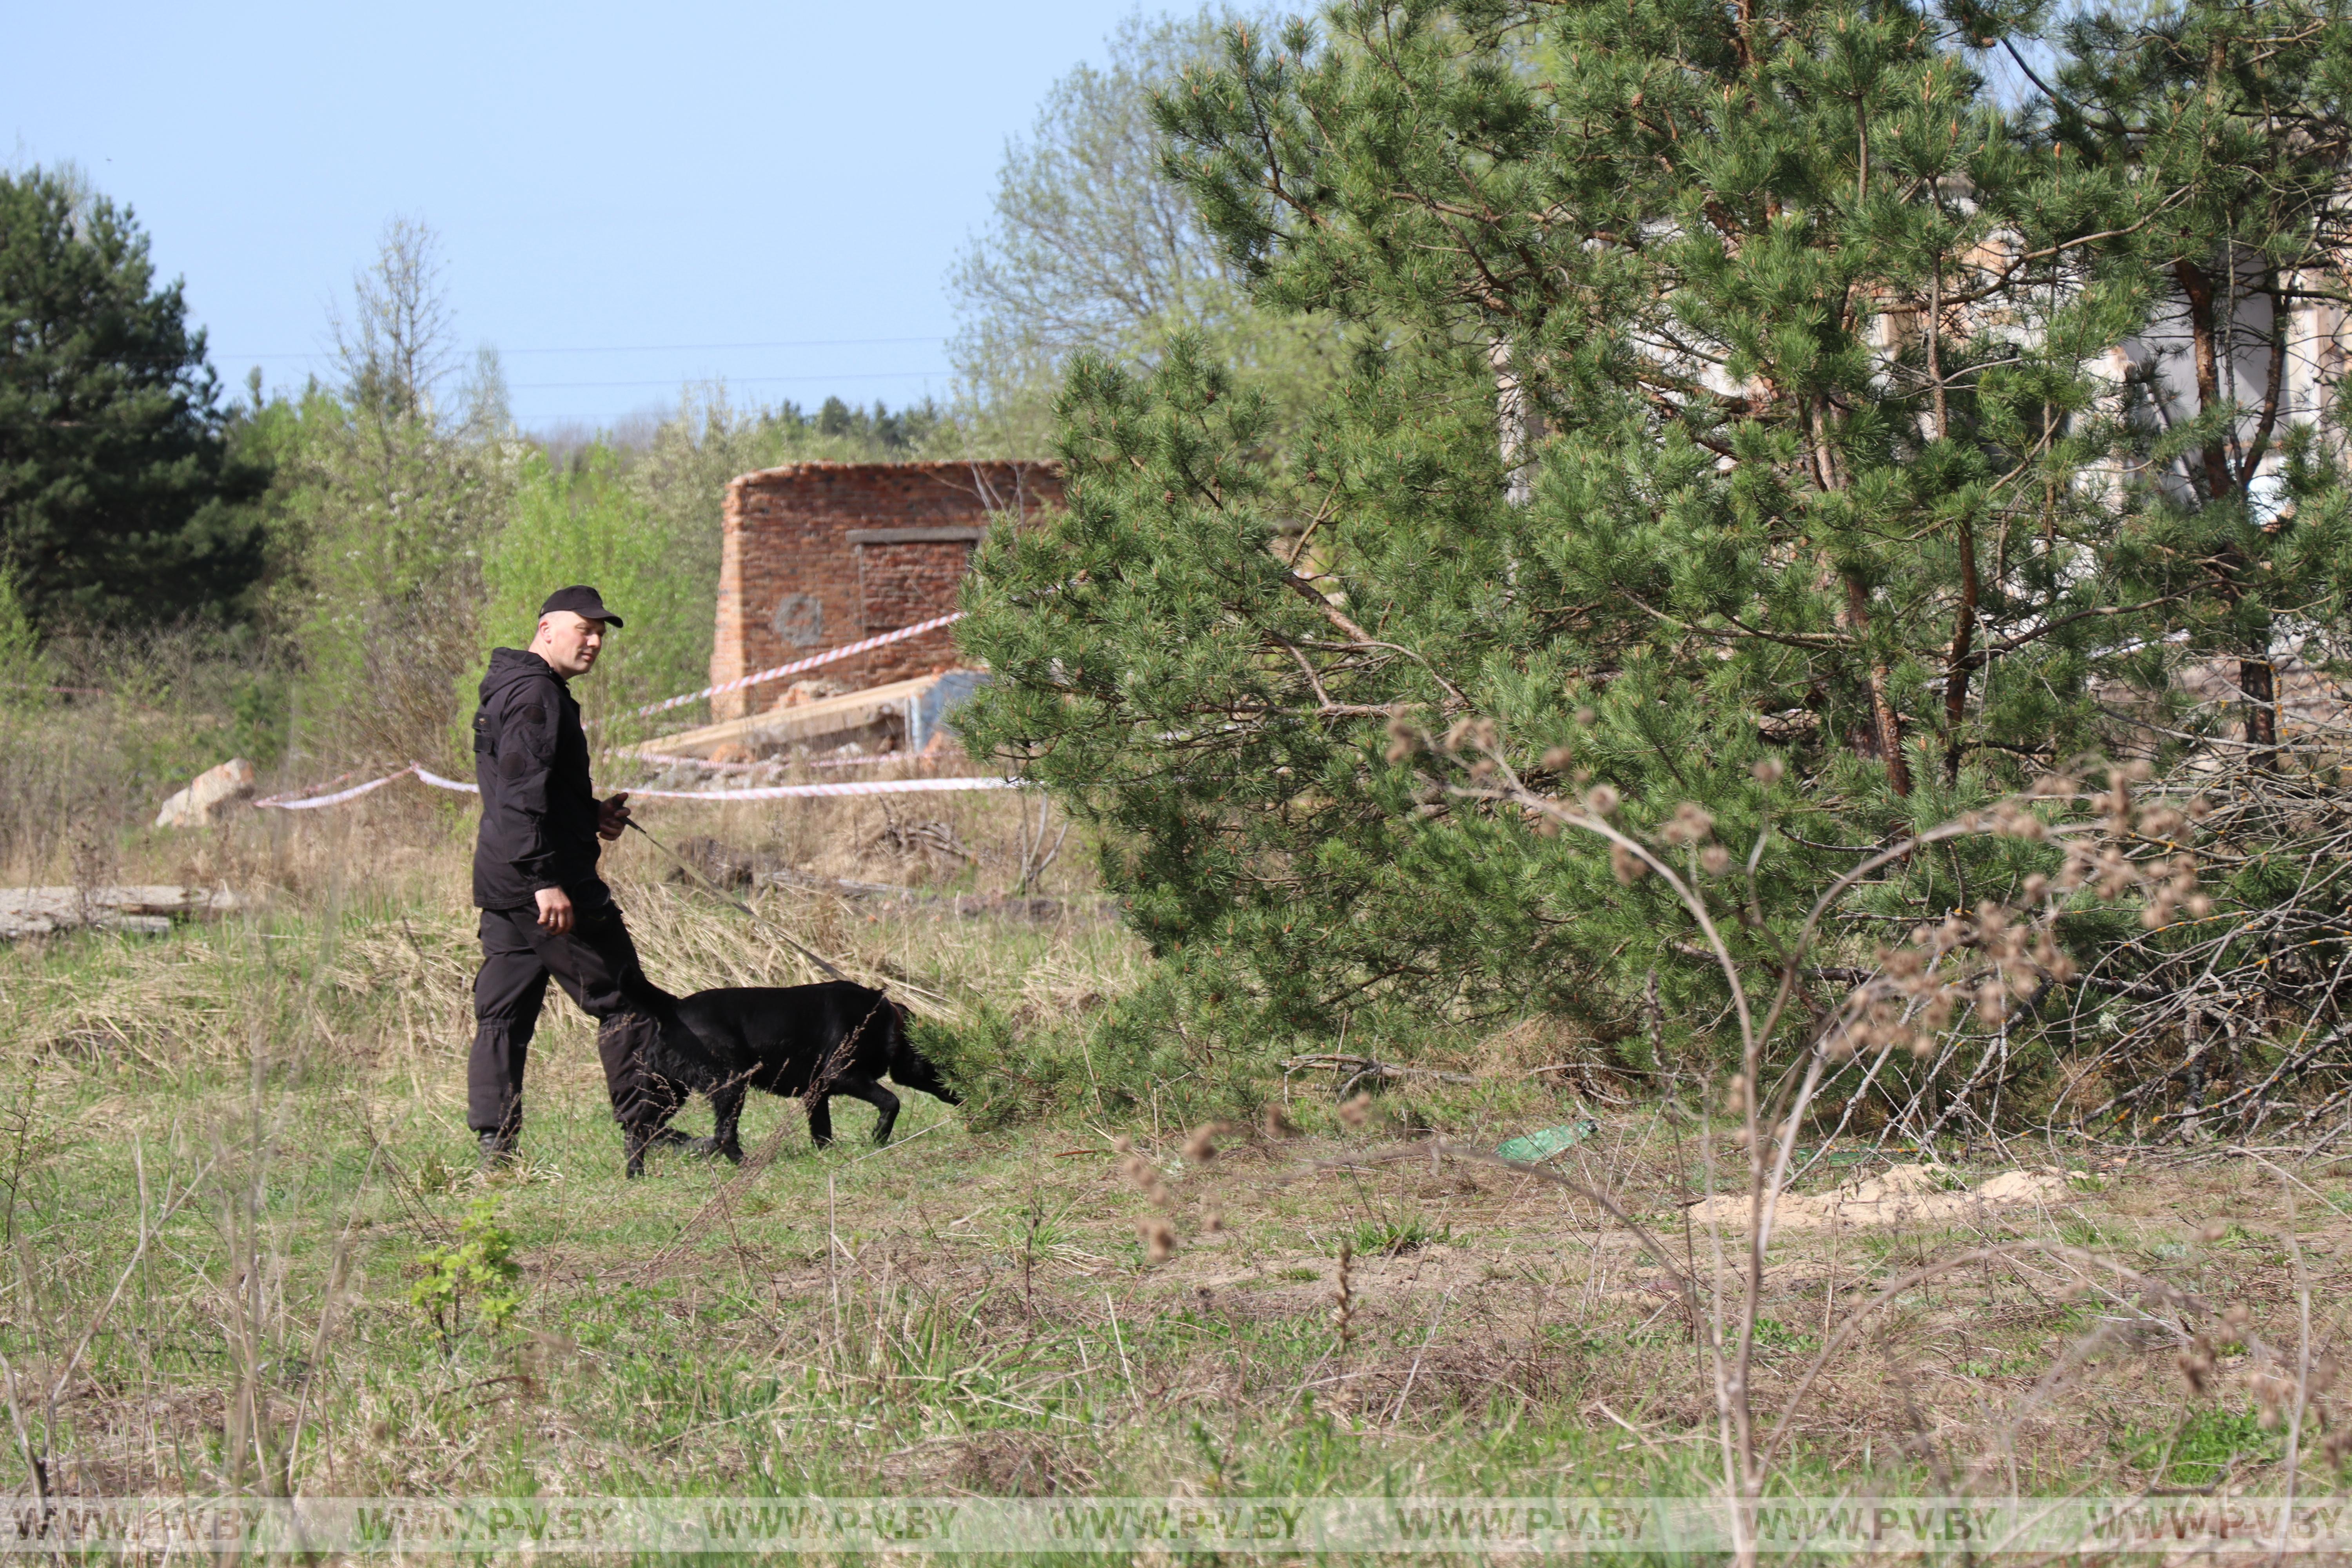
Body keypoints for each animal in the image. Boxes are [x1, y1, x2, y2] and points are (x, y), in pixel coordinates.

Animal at [644, 982, 955, 1166]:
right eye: (946, 1064)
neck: (887, 1020)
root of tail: (674, 1009)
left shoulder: (816, 1093)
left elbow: (822, 1131)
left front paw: (827, 1155)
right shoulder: (840, 1074)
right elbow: (892, 1102)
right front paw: (879, 1136)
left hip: (670, 1092)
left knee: (647, 1126)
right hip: (731, 1084)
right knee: (724, 1134)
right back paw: (744, 1162)